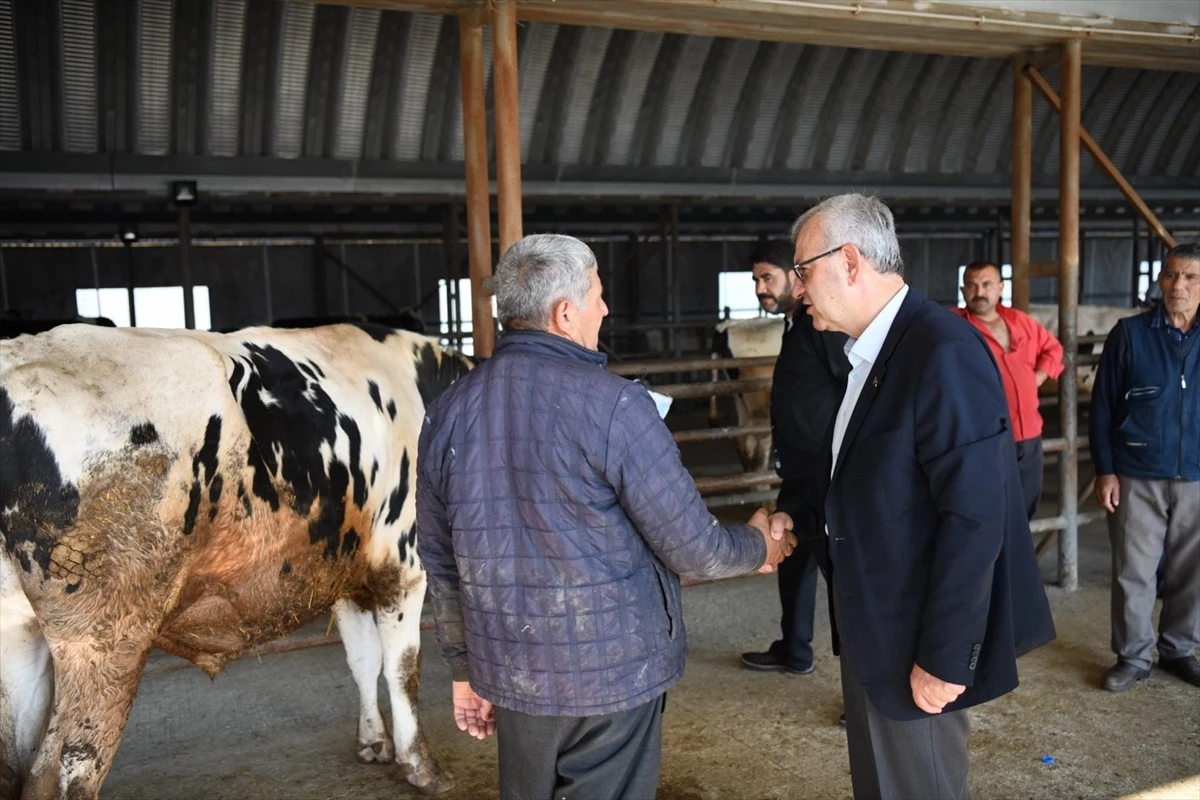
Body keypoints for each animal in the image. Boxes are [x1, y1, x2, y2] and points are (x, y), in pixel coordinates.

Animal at [0, 321, 472, 800]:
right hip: (104, 641)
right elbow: (403, 668)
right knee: (66, 770)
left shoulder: (345, 576)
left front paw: (373, 742)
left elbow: (364, 661)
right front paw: (421, 765)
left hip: (18, 636)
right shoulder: (405, 567)